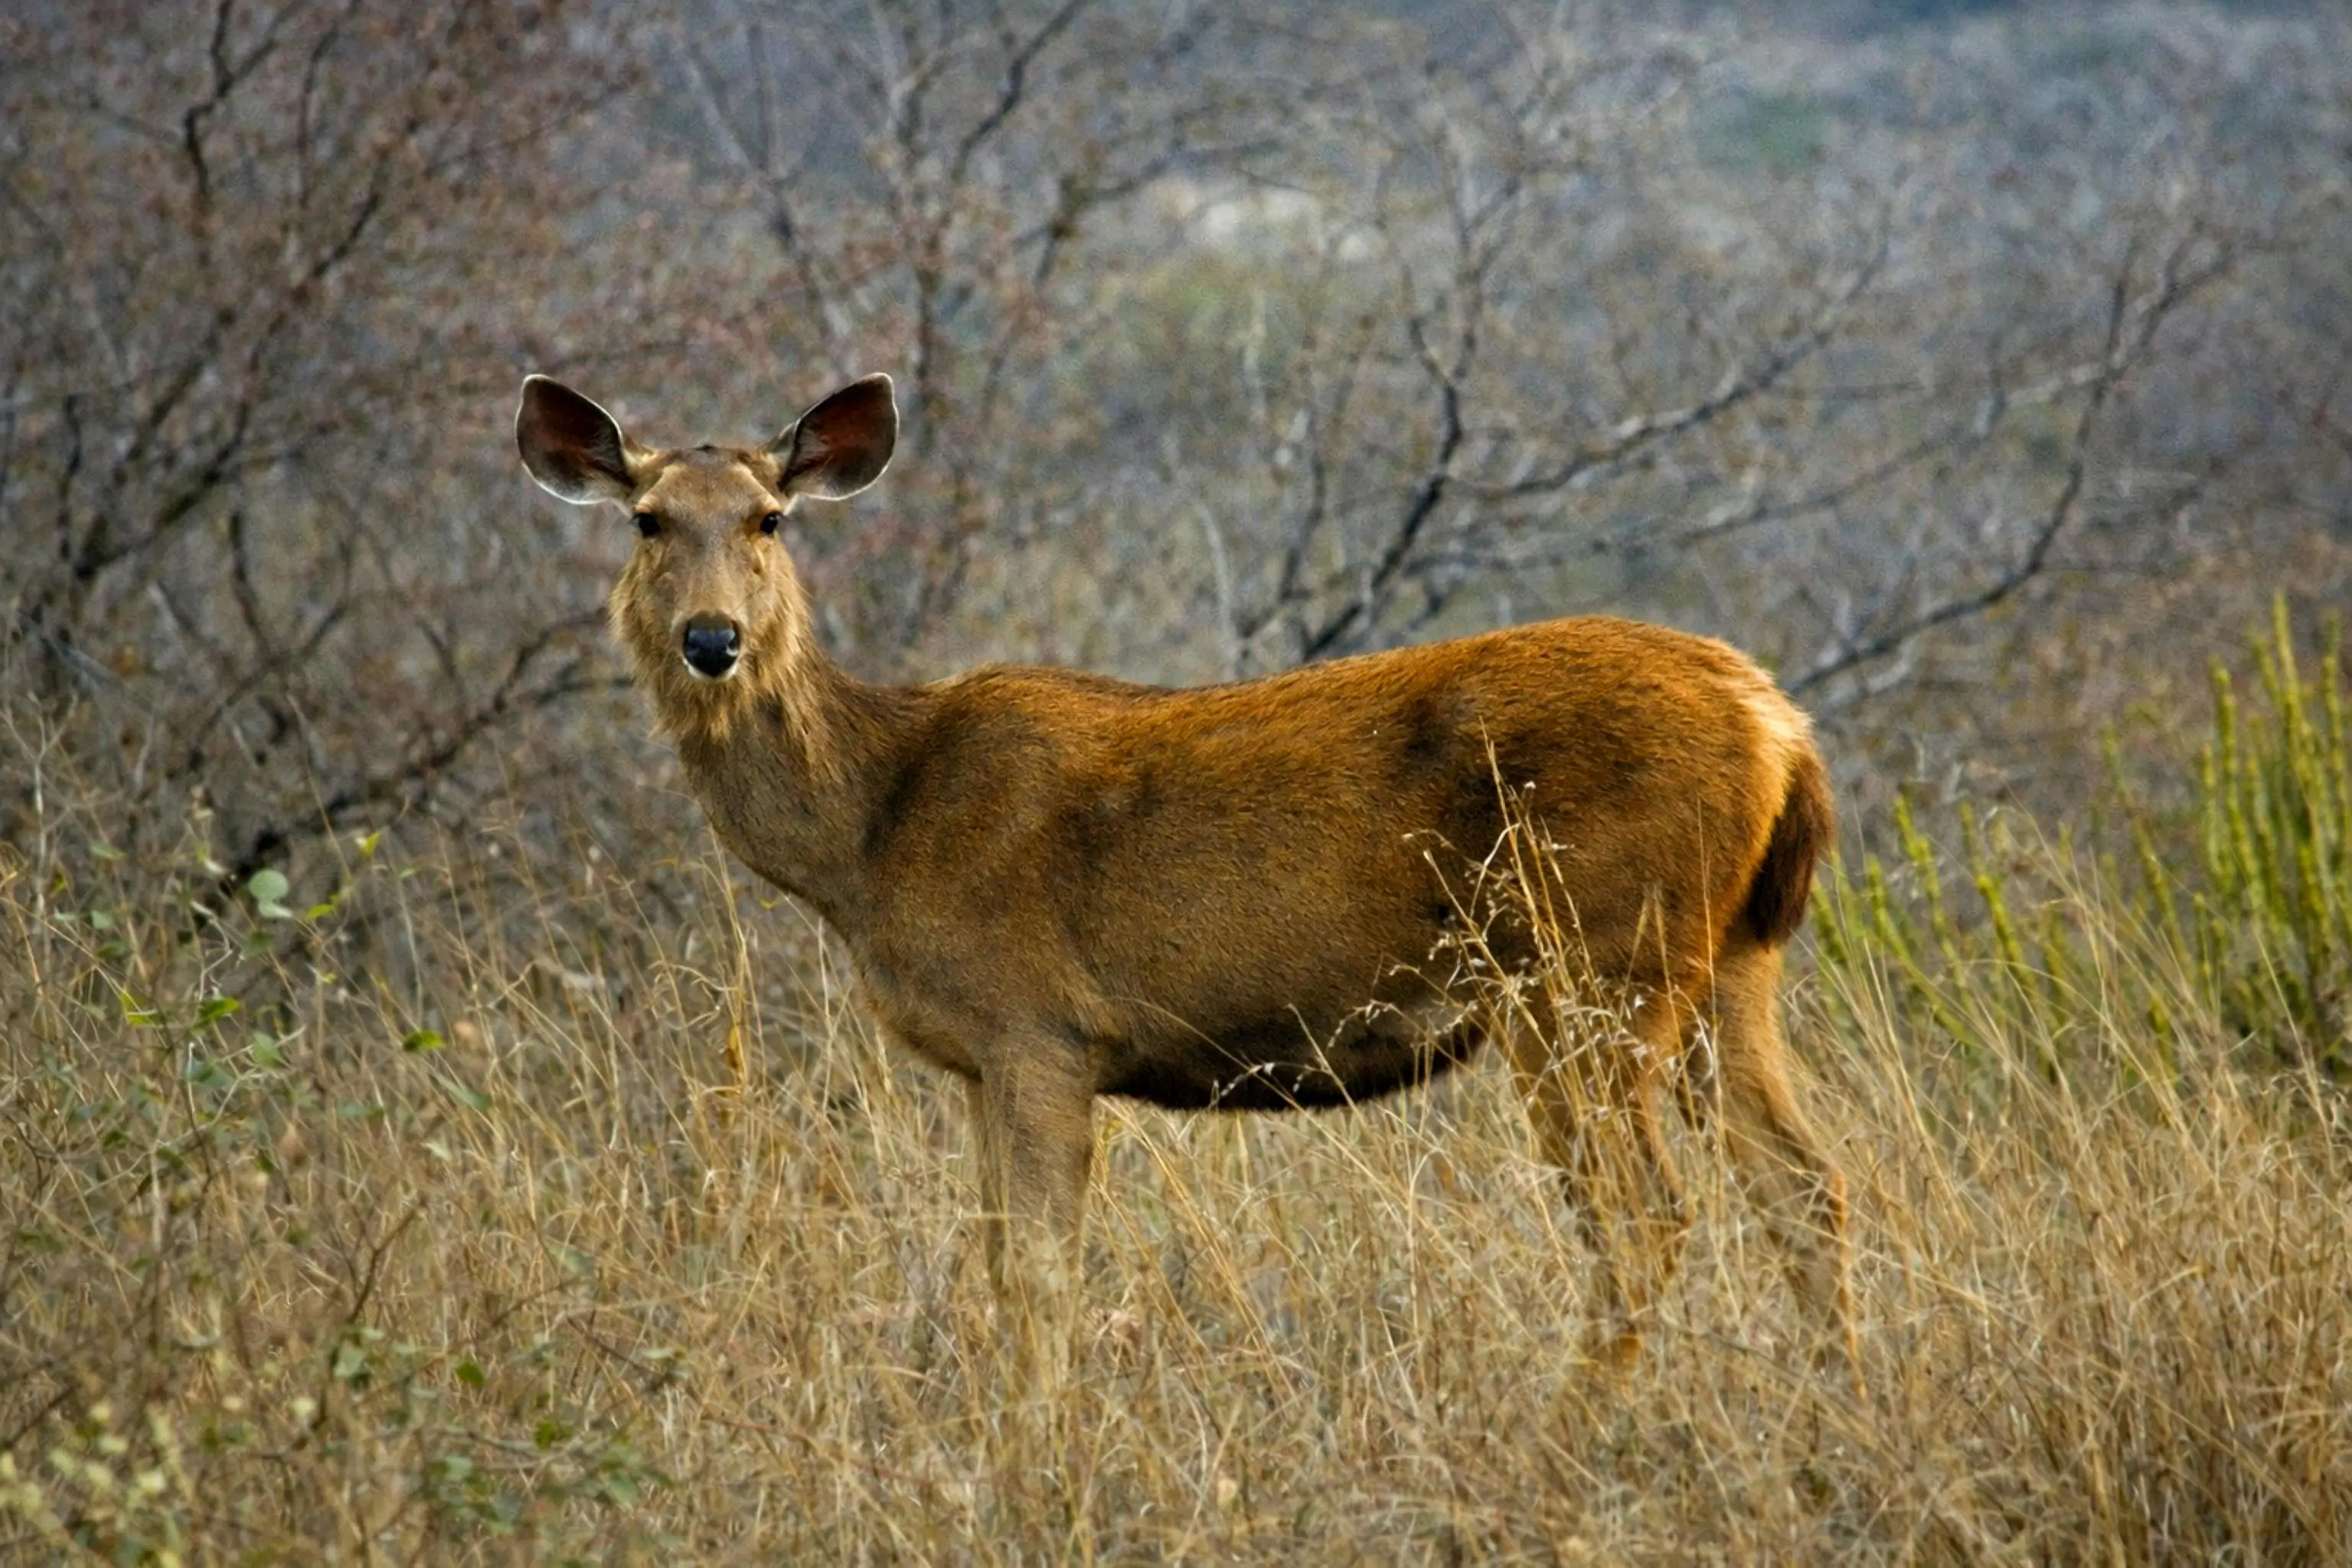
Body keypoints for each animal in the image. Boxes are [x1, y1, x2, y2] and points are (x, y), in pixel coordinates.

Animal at [516, 371, 1858, 1381]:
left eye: (768, 521)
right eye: (647, 520)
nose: (712, 640)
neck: (874, 830)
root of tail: (1779, 728)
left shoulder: (1038, 1028)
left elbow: (1037, 1277)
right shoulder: (982, 1059)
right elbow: (999, 1266)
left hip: (1584, 963)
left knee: (1640, 1220)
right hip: (1725, 966)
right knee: (1807, 1190)